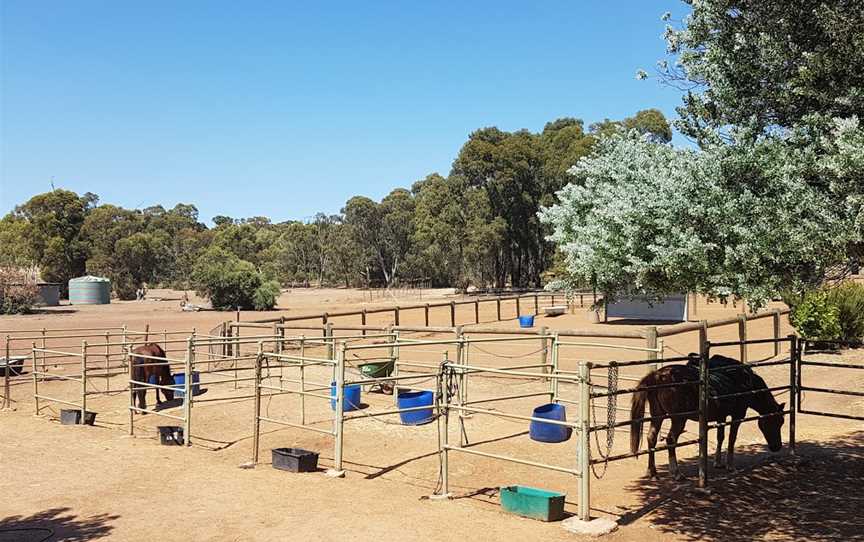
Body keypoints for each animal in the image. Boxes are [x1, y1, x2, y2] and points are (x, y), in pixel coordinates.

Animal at [628, 356, 784, 480]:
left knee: (651, 438)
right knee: (671, 440)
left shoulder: (721, 416)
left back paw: (652, 472)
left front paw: (718, 462)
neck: (746, 383)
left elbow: (720, 437)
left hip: (658, 415)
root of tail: (657, 376)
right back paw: (676, 473)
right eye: (776, 422)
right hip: (678, 419)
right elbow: (732, 439)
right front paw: (730, 466)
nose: (777, 447)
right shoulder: (738, 415)